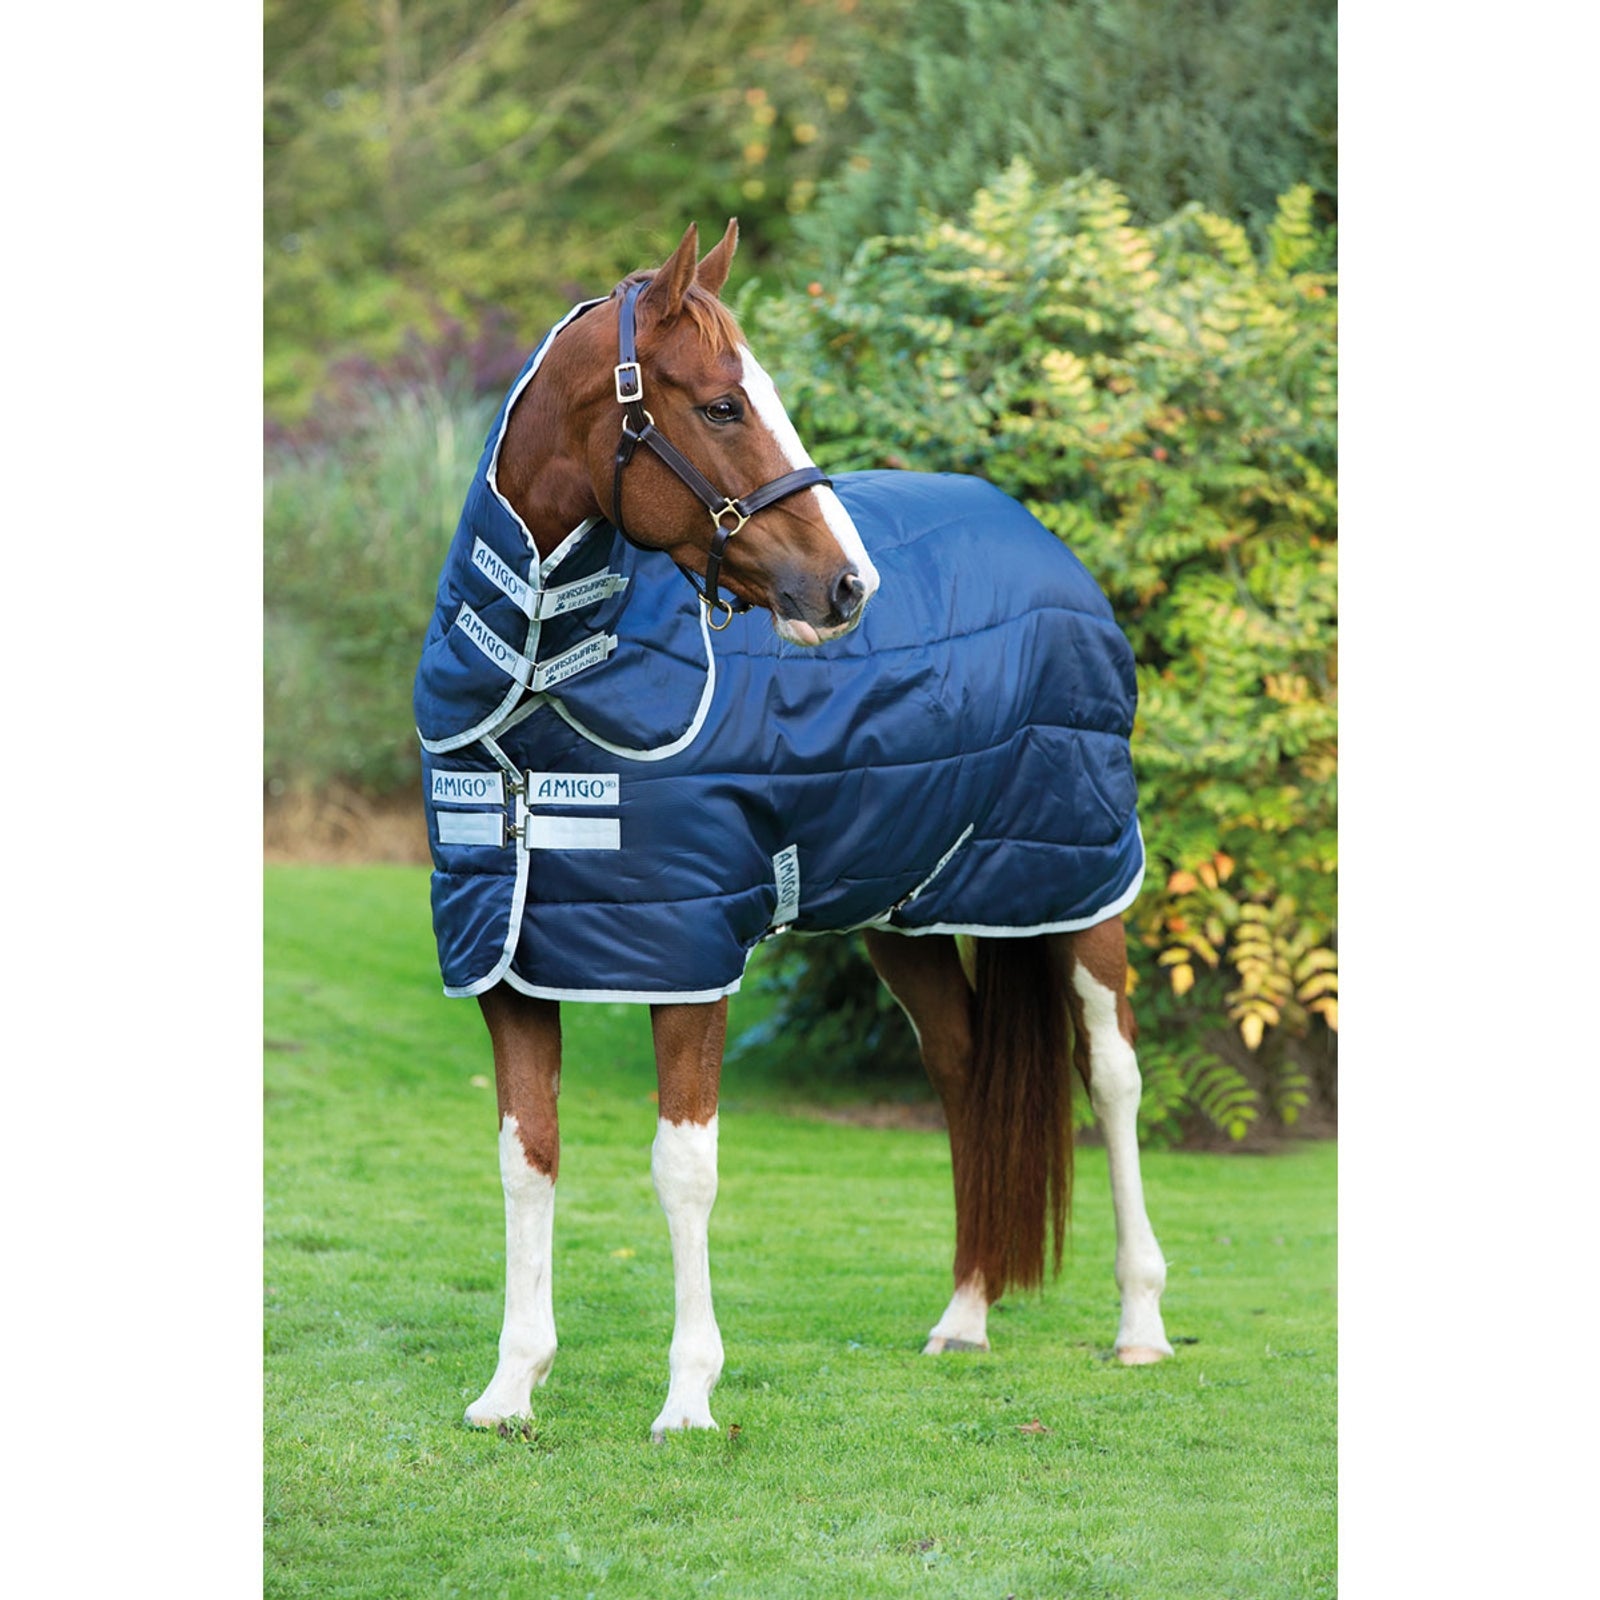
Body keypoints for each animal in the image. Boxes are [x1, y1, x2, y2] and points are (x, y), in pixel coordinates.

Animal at [413, 220, 1172, 1440]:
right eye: (723, 405)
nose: (849, 586)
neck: (540, 689)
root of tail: (1049, 548)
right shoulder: (508, 961)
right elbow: (528, 1160)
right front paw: (510, 1386)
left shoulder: (688, 957)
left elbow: (683, 1170)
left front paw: (687, 1397)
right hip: (907, 913)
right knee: (964, 1070)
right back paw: (964, 1316)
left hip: (1077, 887)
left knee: (1111, 1077)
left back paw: (1140, 1323)